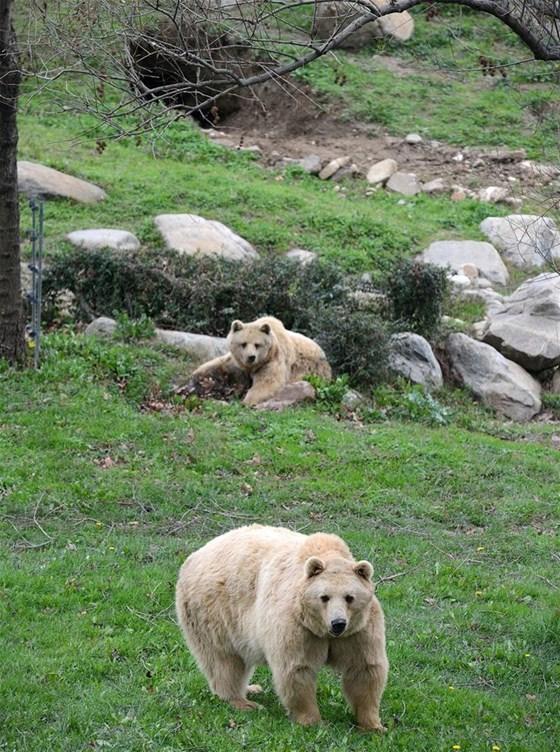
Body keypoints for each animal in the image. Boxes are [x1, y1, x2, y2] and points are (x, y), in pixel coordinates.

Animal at [175, 524, 390, 732]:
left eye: (349, 597)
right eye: (324, 597)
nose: (338, 623)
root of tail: (195, 555)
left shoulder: (358, 630)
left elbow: (364, 669)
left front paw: (374, 725)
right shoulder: (296, 625)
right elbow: (296, 669)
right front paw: (313, 721)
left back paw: (252, 688)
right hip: (215, 613)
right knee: (224, 661)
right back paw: (243, 701)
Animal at [190, 316, 330, 406]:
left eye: (257, 344)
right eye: (243, 343)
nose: (251, 357)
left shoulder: (272, 361)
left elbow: (268, 382)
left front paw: (246, 401)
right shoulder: (238, 362)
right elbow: (219, 363)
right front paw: (198, 375)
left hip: (314, 370)